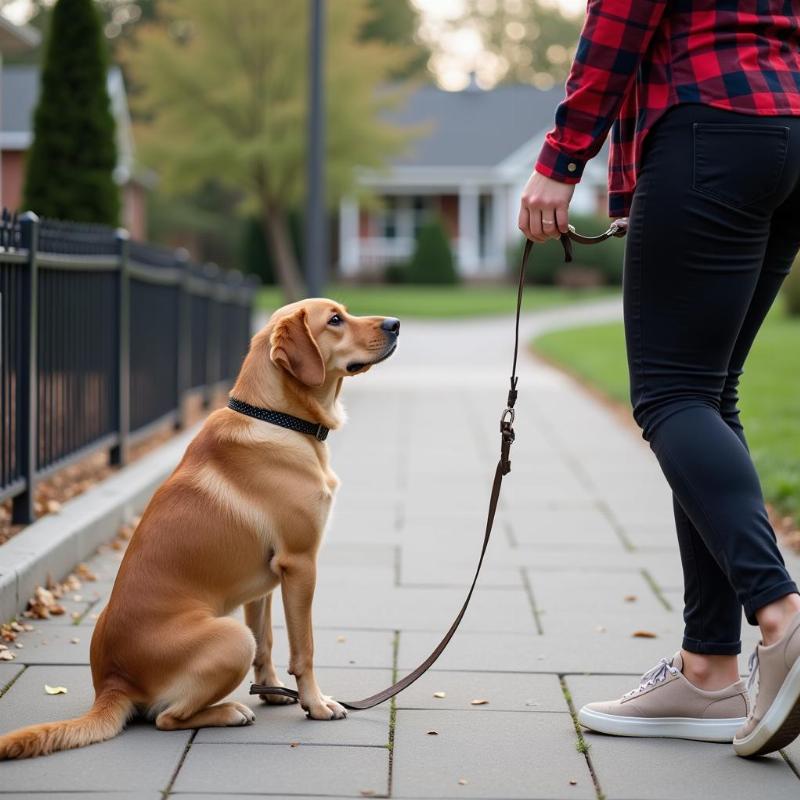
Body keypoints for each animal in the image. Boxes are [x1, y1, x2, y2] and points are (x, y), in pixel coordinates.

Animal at [0, 296, 400, 760]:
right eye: (335, 319)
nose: (395, 324)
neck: (276, 418)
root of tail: (112, 683)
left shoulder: (266, 582)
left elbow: (268, 641)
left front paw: (273, 692)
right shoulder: (301, 565)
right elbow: (305, 649)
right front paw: (315, 704)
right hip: (230, 637)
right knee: (166, 718)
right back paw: (228, 712)